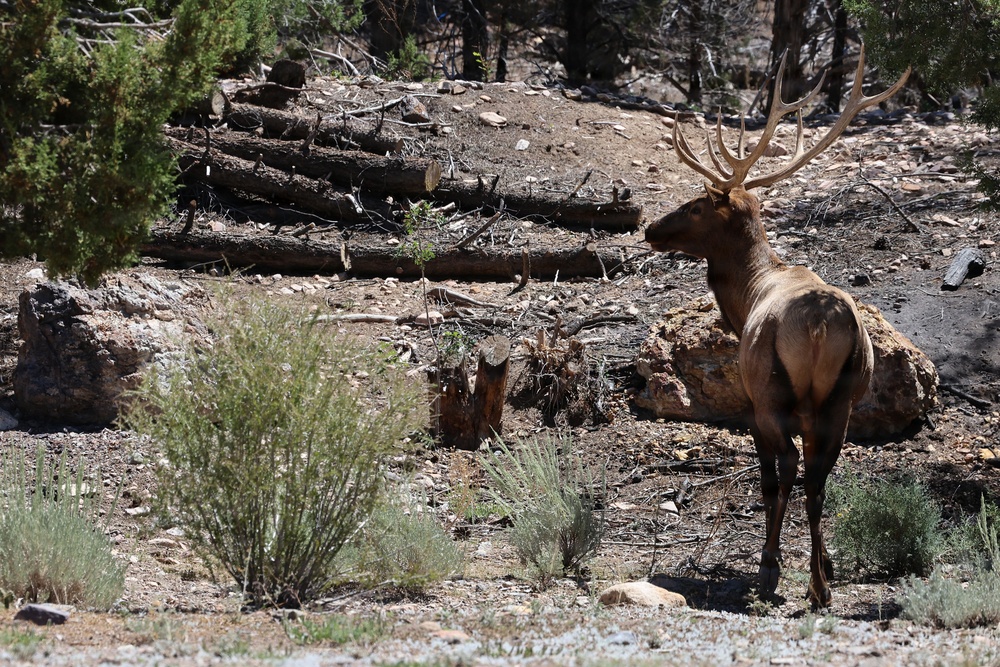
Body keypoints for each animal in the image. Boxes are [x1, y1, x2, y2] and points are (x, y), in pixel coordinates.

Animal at [645, 47, 909, 608]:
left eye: (695, 205)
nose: (651, 228)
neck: (746, 298)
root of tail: (823, 327)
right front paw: (822, 563)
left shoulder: (752, 404)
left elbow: (768, 480)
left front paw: (771, 565)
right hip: (842, 399)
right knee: (819, 477)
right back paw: (820, 583)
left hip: (771, 391)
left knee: (786, 469)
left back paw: (777, 573)